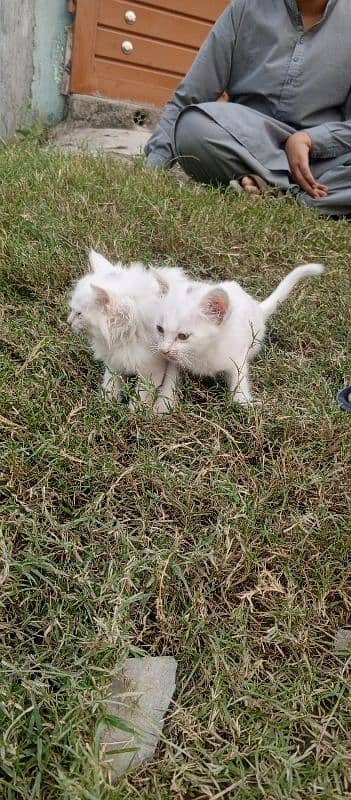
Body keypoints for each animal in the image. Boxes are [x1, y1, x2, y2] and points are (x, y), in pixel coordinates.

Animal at [69, 250, 188, 412]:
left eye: (79, 314)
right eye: (72, 309)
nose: (68, 322)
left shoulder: (150, 370)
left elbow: (141, 396)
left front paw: (135, 413)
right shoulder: (114, 362)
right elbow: (111, 385)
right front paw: (106, 405)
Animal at [153, 264, 324, 404]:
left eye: (183, 336)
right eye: (160, 329)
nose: (163, 350)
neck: (202, 352)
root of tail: (257, 307)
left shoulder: (237, 355)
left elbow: (239, 379)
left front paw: (243, 403)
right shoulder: (176, 361)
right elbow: (170, 378)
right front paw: (163, 405)